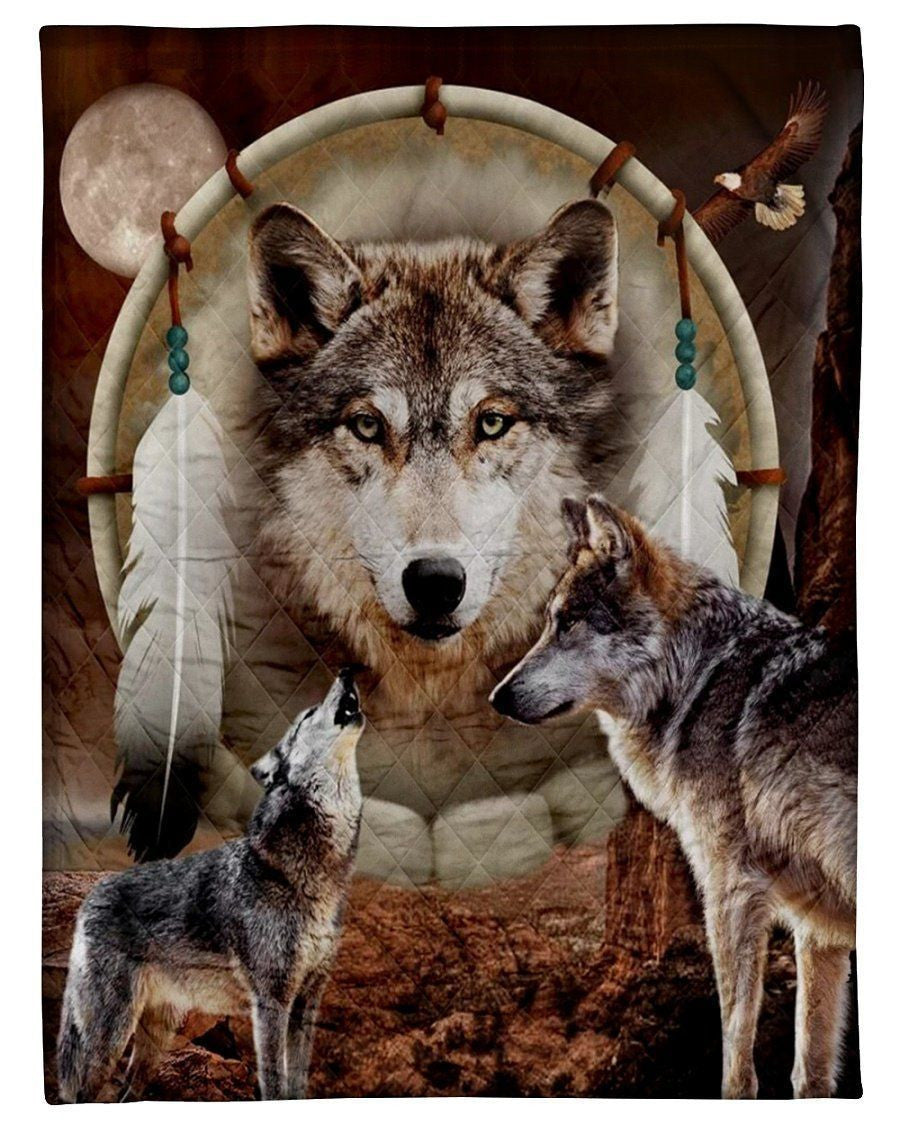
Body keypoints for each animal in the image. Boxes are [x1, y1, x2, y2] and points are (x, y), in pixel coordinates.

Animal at [57, 669, 364, 1102]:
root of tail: (91, 896)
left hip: (152, 1043)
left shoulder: (307, 1002)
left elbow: (298, 1085)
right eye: (308, 715)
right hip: (108, 1035)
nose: (346, 672)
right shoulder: (271, 1001)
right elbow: (274, 1084)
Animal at [491, 496, 857, 1099]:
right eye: (549, 623)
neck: (695, 677)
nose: (497, 697)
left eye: (567, 622)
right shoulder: (817, 928)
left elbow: (737, 1061)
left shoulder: (732, 894)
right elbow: (810, 1072)